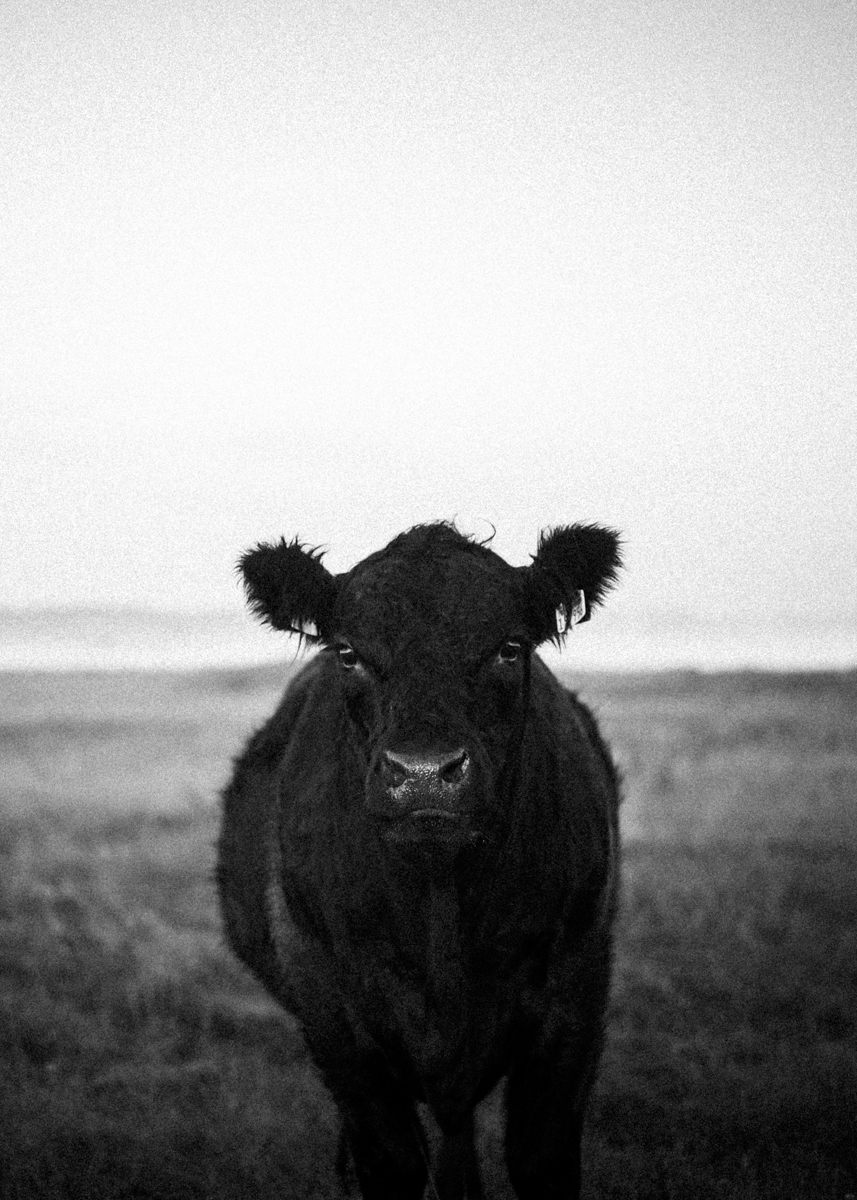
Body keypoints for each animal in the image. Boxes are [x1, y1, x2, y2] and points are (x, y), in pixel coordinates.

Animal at [217, 521, 622, 1200]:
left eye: (510, 647)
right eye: (347, 652)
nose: (426, 773)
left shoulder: (574, 1006)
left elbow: (539, 1158)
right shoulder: (338, 1028)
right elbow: (392, 1162)